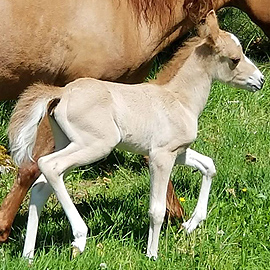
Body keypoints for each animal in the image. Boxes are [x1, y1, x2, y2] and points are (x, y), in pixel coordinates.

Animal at [0, 0, 268, 243]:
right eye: (234, 59)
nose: (260, 80)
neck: (178, 98)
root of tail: (61, 93)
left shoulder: (178, 151)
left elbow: (208, 165)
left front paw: (191, 223)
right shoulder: (161, 155)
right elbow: (156, 208)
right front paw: (153, 253)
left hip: (68, 142)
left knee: (41, 184)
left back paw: (29, 254)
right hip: (95, 146)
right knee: (48, 166)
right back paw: (79, 236)